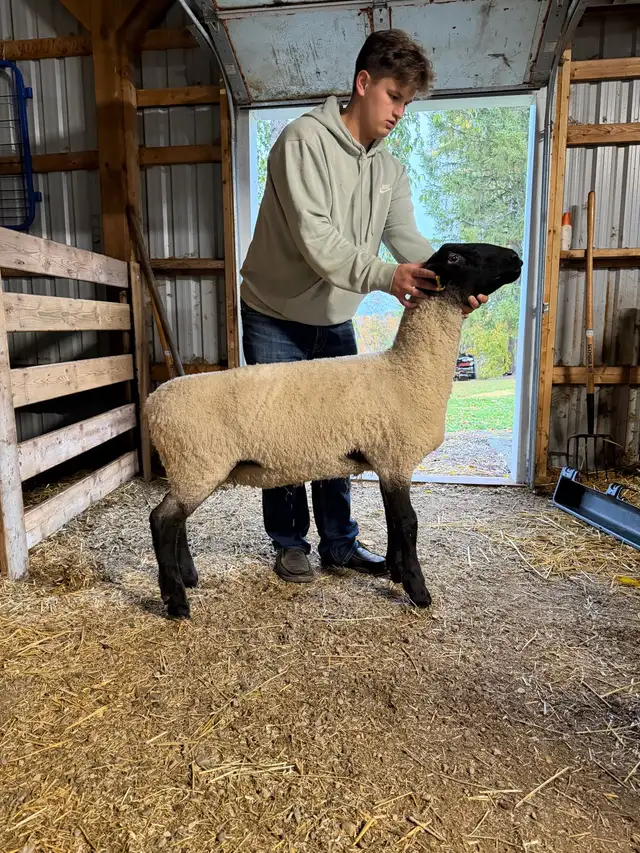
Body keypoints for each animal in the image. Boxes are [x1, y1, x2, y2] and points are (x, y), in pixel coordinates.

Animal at [145, 242, 523, 618]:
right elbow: (408, 523)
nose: (517, 258)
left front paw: (395, 570)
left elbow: (393, 521)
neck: (407, 370)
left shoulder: (386, 460)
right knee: (162, 520)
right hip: (198, 464)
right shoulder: (397, 457)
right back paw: (176, 601)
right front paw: (417, 590)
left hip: (188, 469)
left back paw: (188, 577)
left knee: (176, 522)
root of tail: (152, 403)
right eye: (456, 257)